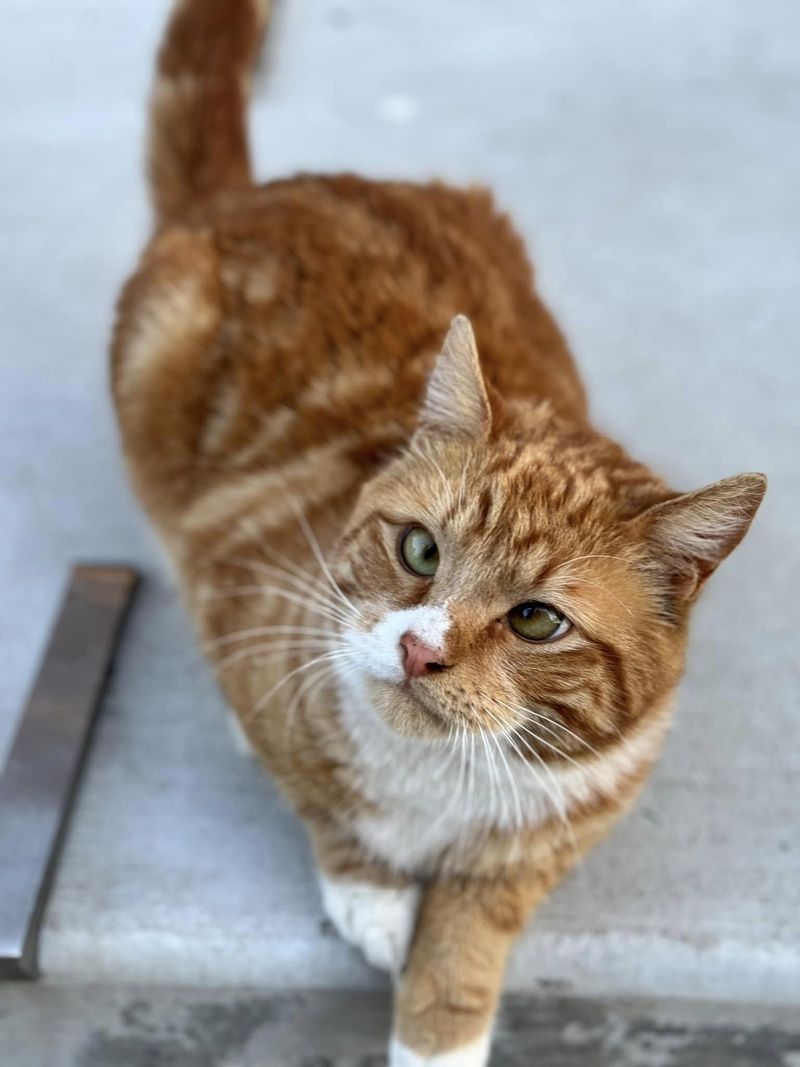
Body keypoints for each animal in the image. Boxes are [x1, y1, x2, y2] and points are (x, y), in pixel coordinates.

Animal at [111, 4, 772, 1062]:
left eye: (538, 619)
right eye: (420, 550)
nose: (420, 649)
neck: (439, 783)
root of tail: (261, 191)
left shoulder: (568, 820)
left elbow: (470, 938)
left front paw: (437, 1022)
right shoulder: (248, 605)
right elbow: (325, 803)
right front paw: (373, 897)